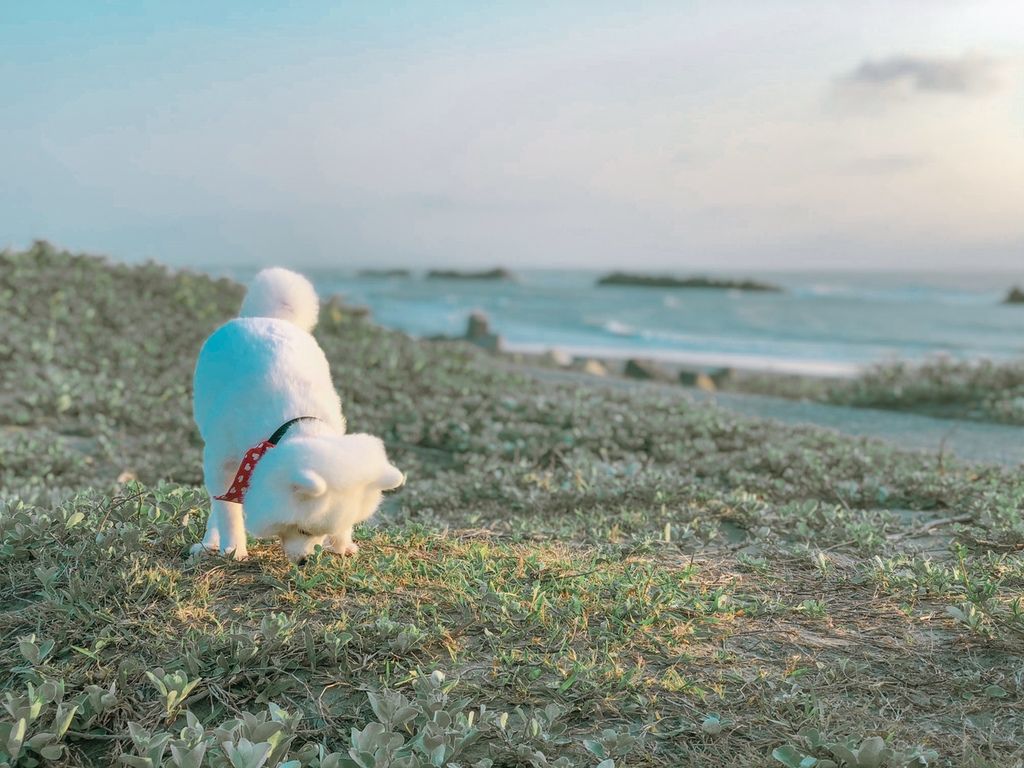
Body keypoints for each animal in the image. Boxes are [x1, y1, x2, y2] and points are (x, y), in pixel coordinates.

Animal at [192, 268, 403, 561]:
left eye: (323, 533)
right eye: (302, 530)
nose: (304, 561)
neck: (292, 425)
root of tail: (268, 317)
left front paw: (342, 544)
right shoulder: (222, 462)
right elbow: (227, 510)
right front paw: (234, 547)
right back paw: (211, 541)